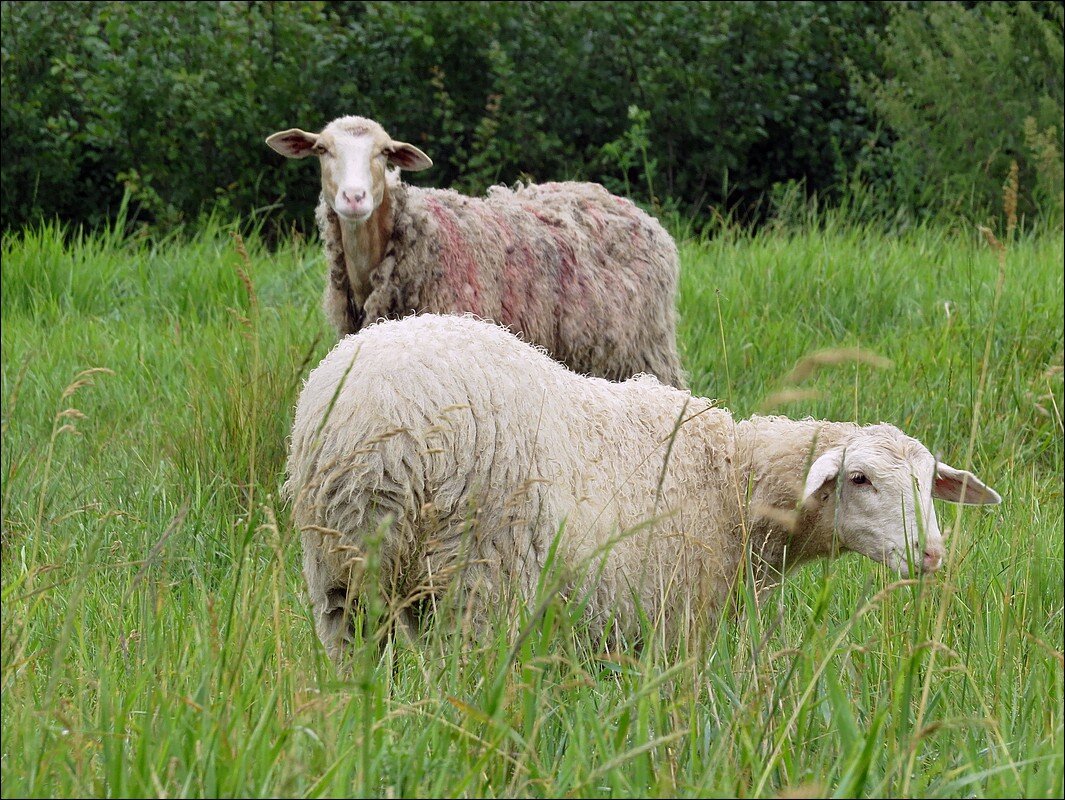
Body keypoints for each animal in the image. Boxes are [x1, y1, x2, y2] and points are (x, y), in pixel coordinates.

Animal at [283, 315, 996, 660]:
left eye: (929, 481)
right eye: (859, 478)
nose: (933, 553)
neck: (731, 482)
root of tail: (374, 420)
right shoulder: (671, 620)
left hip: (340, 574)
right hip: (478, 572)